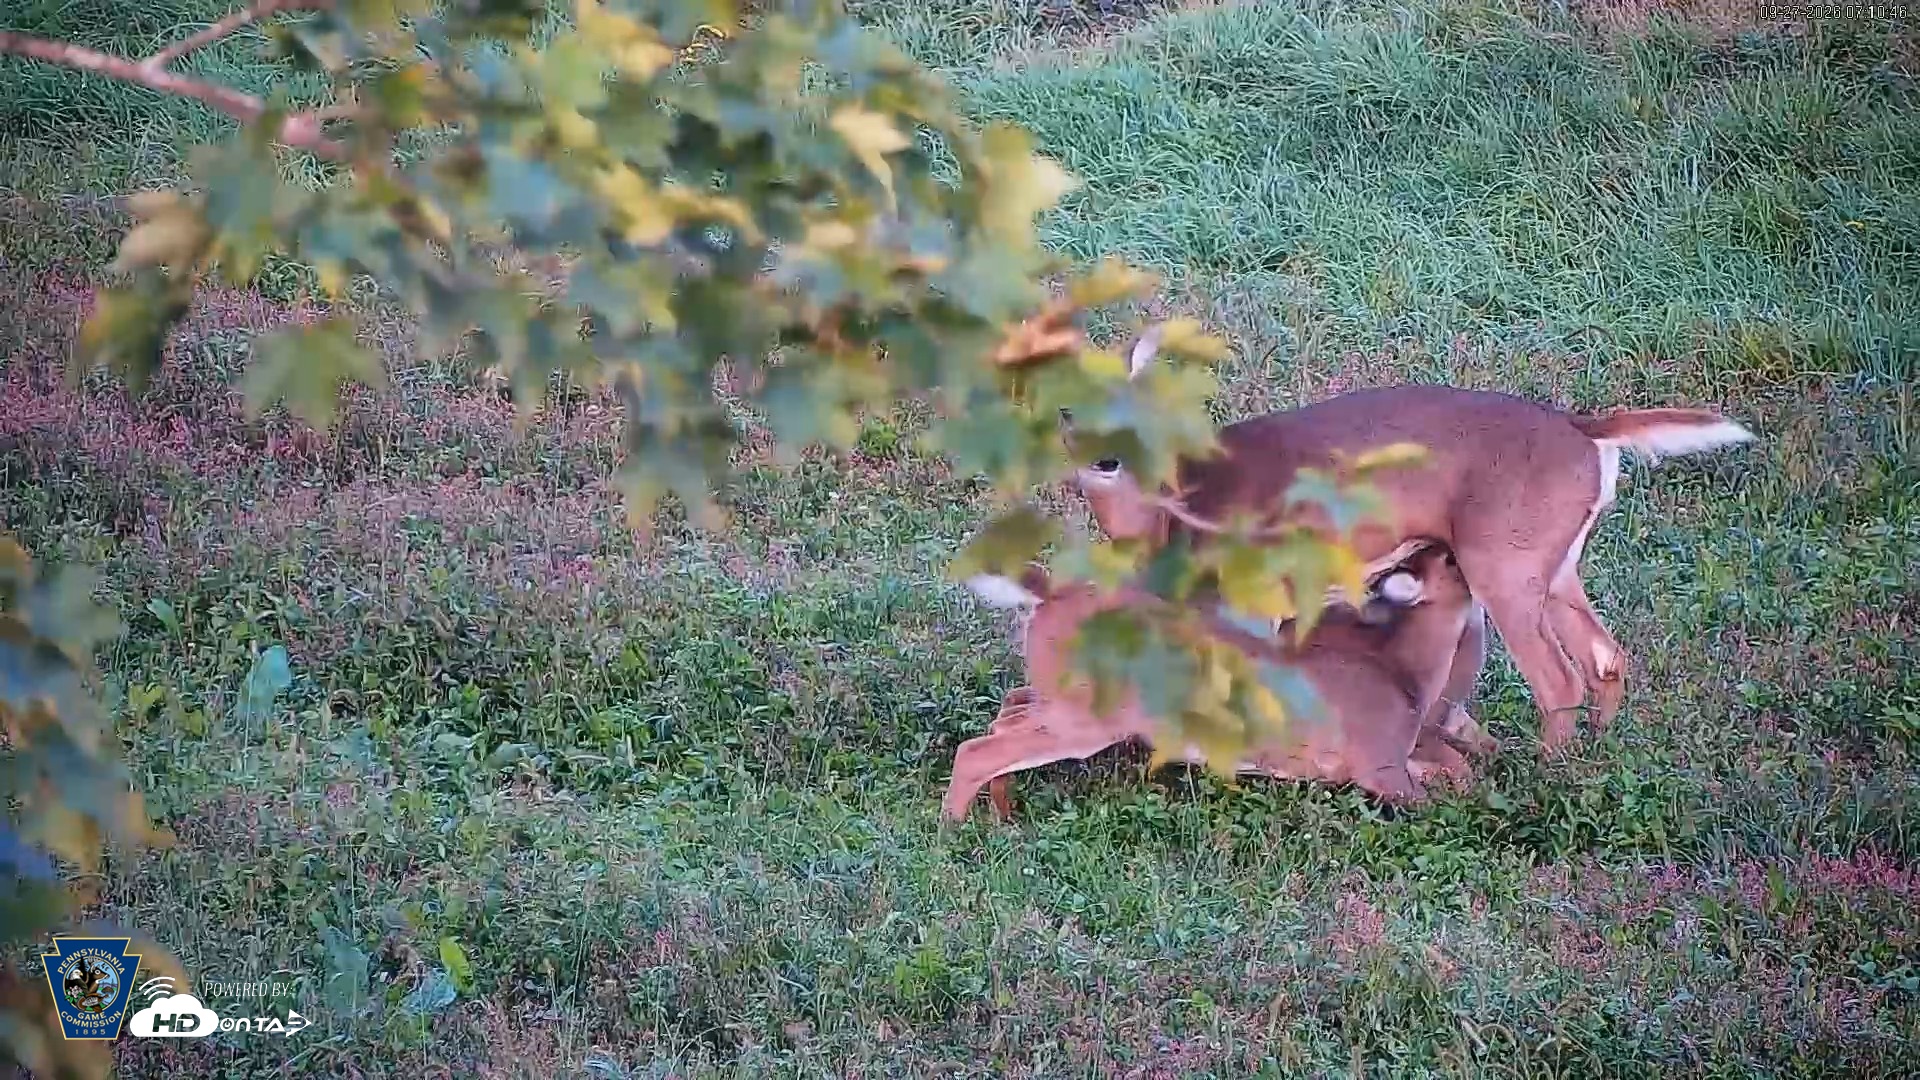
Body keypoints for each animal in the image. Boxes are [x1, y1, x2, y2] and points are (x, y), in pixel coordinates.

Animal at [944, 541, 1485, 821]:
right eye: (1451, 559)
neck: (1404, 675)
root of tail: (1048, 596)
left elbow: (1461, 771)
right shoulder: (1377, 764)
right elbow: (1446, 800)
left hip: (1062, 696)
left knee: (1008, 711)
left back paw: (1004, 810)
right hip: (1090, 714)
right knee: (977, 749)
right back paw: (954, 832)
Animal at [1069, 326, 1758, 754]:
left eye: (1133, 403)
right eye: (1068, 411)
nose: (1104, 457)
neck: (1174, 513)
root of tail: (1584, 429)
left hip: (1502, 559)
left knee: (1560, 679)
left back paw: (1546, 775)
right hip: (1556, 560)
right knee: (1606, 658)